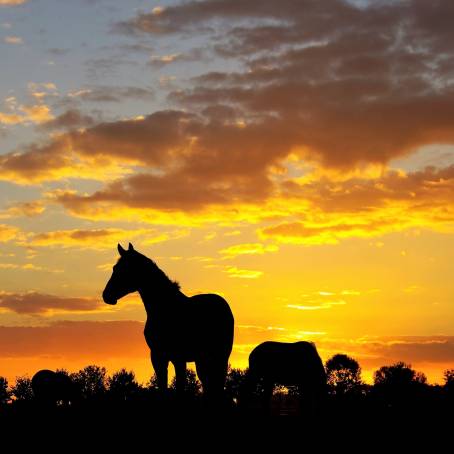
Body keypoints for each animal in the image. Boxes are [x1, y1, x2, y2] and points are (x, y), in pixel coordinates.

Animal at [102, 243, 234, 402]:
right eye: (115, 268)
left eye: (124, 269)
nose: (106, 295)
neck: (165, 307)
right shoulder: (158, 357)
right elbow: (163, 388)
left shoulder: (179, 358)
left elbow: (180, 389)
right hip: (202, 359)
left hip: (221, 356)